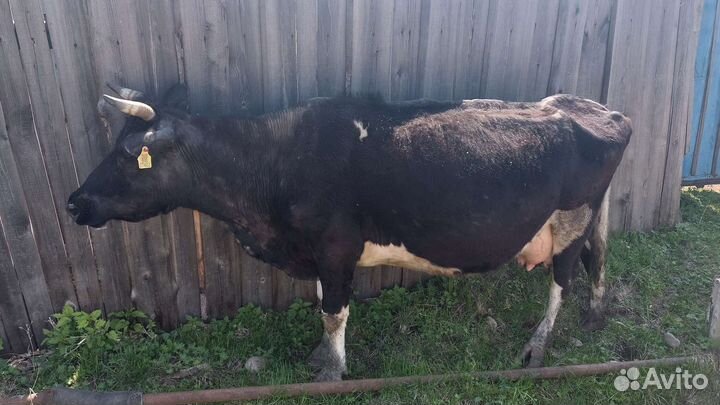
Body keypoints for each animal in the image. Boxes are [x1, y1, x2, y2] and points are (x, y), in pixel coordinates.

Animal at [68, 84, 631, 381]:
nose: (75, 201)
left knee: (562, 282)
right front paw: (322, 355)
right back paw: (594, 317)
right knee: (596, 262)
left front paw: (331, 371)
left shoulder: (336, 246)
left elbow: (334, 311)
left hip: (570, 221)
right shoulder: (320, 253)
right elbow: (323, 303)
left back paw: (538, 347)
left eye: (129, 153)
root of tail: (597, 107)